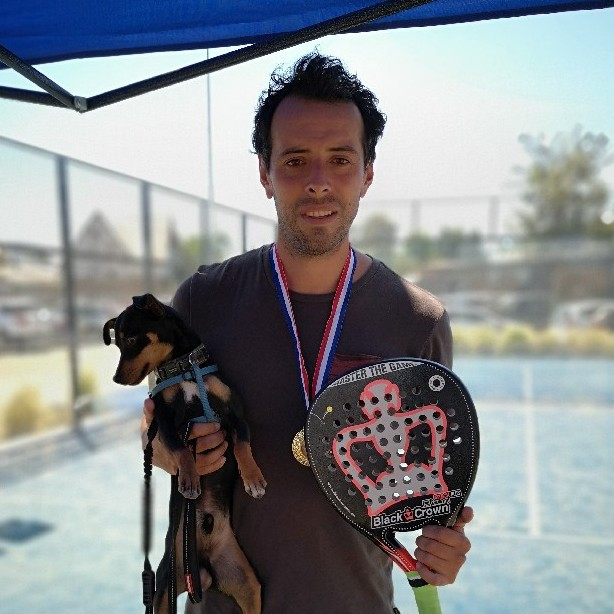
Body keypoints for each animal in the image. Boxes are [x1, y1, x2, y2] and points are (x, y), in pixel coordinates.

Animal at [103, 293, 266, 614]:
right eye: (117, 343)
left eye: (131, 340)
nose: (115, 379)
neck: (184, 370)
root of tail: (201, 568)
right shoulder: (164, 421)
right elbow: (182, 450)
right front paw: (189, 480)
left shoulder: (237, 416)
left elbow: (242, 445)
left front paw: (253, 478)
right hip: (164, 589)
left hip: (248, 585)